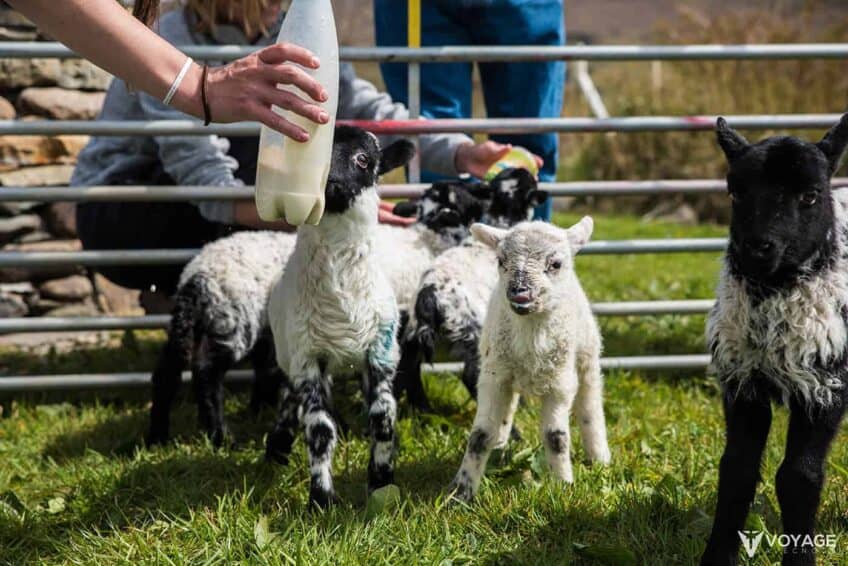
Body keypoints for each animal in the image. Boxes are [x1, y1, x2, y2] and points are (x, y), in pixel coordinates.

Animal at [262, 126, 414, 508]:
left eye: (363, 158)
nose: (323, 180)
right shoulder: (307, 358)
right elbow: (319, 428)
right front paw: (321, 498)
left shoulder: (381, 352)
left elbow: (383, 417)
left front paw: (381, 480)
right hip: (290, 352)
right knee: (289, 400)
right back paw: (276, 451)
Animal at [450, 220, 608, 504]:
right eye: (501, 260)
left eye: (555, 264)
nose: (519, 293)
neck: (531, 338)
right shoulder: (493, 379)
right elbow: (480, 436)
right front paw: (461, 493)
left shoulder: (560, 384)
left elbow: (556, 437)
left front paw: (564, 485)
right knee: (507, 412)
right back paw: (500, 449)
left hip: (587, 356)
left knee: (590, 404)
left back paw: (599, 457)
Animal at [704, 115, 848, 566]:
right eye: (735, 192)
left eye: (811, 195)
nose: (758, 248)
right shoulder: (743, 381)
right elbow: (736, 470)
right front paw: (716, 557)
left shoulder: (826, 384)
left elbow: (798, 477)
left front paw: (800, 559)